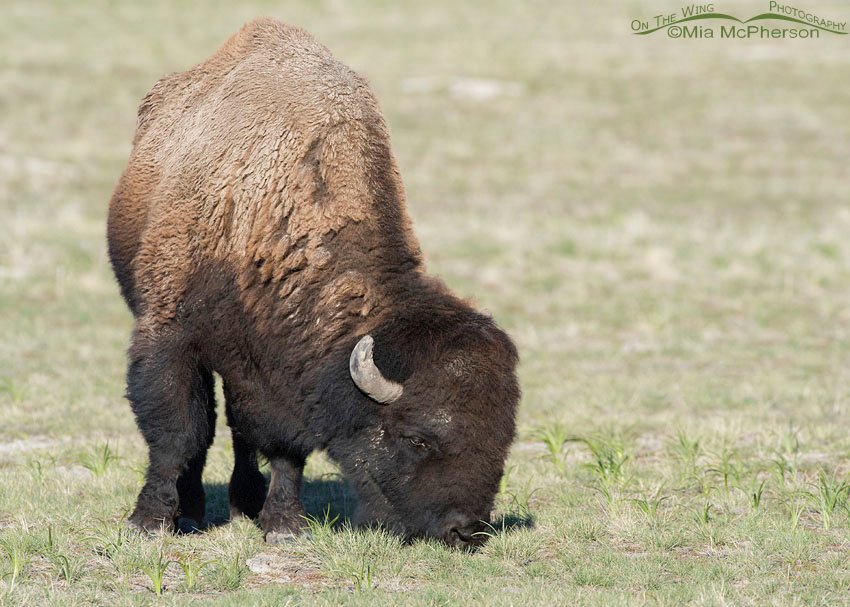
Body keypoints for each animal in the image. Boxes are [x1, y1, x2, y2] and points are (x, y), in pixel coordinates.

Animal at [107, 17, 519, 548]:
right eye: (416, 437)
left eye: (504, 437)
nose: (466, 531)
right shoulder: (169, 336)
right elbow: (178, 433)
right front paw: (149, 522)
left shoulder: (276, 371)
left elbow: (282, 447)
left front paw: (283, 526)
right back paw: (194, 511)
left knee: (240, 431)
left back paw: (244, 502)